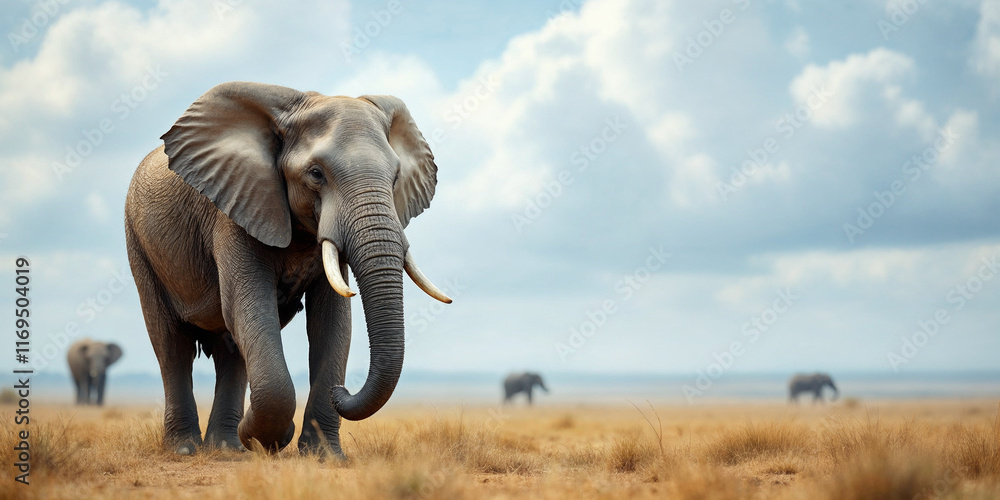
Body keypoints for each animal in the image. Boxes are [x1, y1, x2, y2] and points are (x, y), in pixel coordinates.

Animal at [124, 82, 452, 456]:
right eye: (316, 174)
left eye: (396, 177)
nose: (342, 391)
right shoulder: (235, 207)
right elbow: (248, 305)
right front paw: (270, 439)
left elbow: (332, 320)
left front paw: (324, 456)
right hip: (139, 245)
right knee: (172, 345)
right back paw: (188, 449)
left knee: (231, 351)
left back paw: (227, 449)